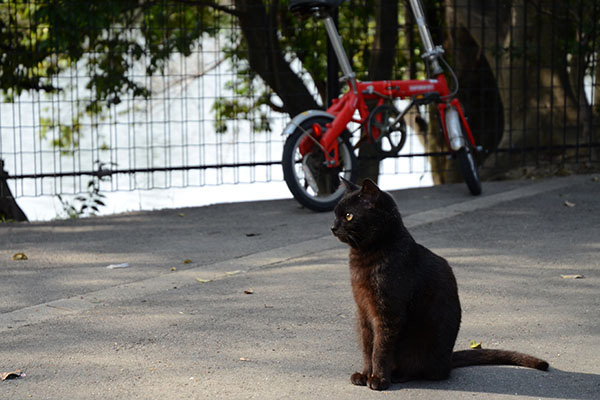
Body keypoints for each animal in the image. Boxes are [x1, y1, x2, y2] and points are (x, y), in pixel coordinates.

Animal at [332, 179, 548, 390]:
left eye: (349, 216)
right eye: (335, 215)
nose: (332, 227)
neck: (364, 257)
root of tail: (448, 361)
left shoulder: (387, 313)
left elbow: (380, 349)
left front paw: (378, 379)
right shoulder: (363, 311)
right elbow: (367, 347)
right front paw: (365, 374)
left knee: (426, 372)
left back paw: (399, 376)